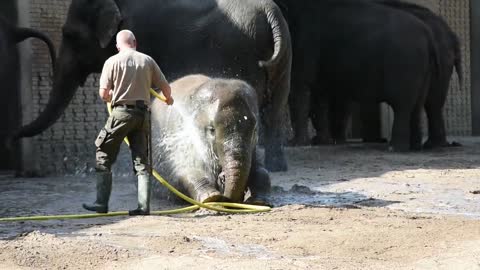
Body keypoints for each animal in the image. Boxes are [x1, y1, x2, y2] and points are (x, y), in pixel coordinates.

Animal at [11, 0, 292, 172]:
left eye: (70, 35)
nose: (11, 136)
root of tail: (271, 12)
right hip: (282, 58)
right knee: (275, 111)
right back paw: (277, 166)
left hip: (240, 51)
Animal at [150, 75, 270, 204]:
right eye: (212, 130)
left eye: (255, 130)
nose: (222, 177)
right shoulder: (179, 139)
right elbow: (184, 171)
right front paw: (211, 197)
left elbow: (262, 171)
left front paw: (258, 201)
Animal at [276, 0, 436, 152]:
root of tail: (428, 34)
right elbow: (319, 96)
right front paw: (321, 141)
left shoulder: (305, 45)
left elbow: (299, 88)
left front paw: (294, 144)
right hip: (422, 70)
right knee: (417, 105)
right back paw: (414, 147)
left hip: (405, 65)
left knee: (402, 106)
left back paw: (395, 148)